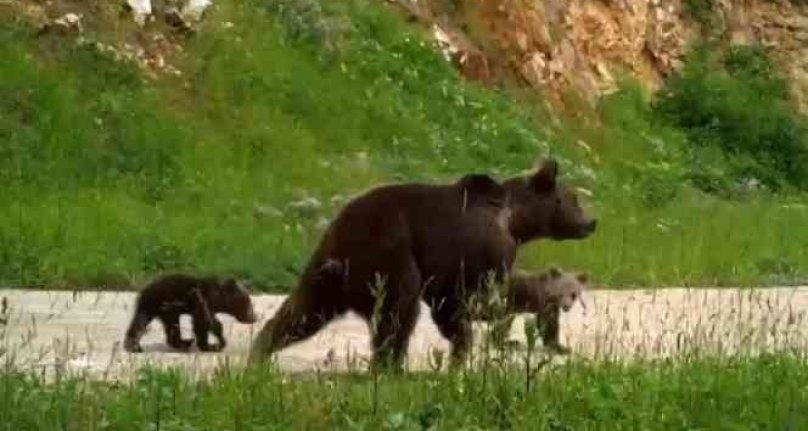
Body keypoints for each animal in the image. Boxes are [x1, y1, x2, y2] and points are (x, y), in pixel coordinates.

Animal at [249, 160, 596, 370]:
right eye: (574, 200)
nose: (591, 222)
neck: (515, 222)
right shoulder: (478, 248)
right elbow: (460, 299)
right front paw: (466, 345)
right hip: (389, 252)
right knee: (399, 309)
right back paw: (390, 366)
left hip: (326, 269)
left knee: (302, 311)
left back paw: (260, 352)